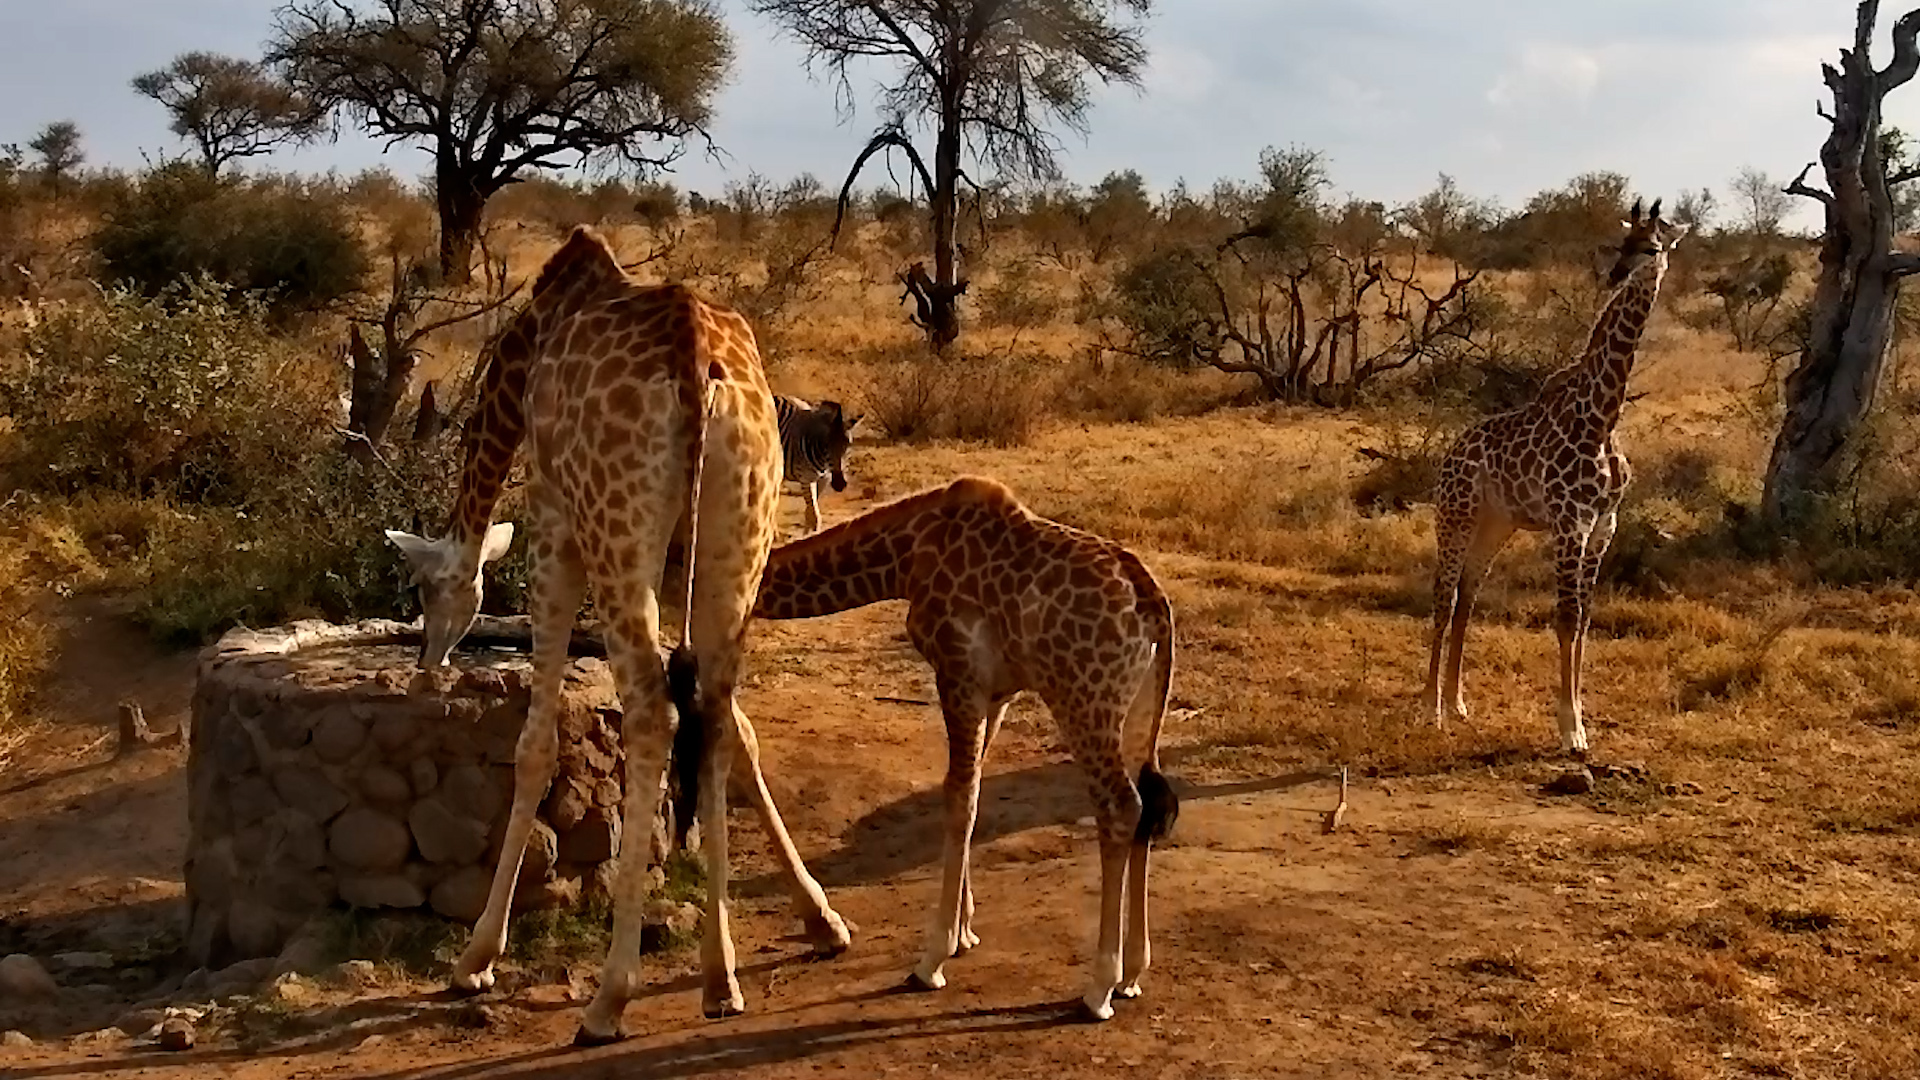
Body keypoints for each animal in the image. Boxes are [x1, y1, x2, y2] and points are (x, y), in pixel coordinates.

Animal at [382, 226, 851, 1044]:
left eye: (427, 593)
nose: (425, 667)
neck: (527, 346)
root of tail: (696, 363)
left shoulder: (554, 531)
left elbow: (534, 748)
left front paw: (476, 958)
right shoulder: (676, 567)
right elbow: (742, 734)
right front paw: (819, 918)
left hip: (614, 535)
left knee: (653, 714)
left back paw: (609, 997)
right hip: (736, 541)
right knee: (712, 712)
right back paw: (720, 978)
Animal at [706, 474, 1181, 1020]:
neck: (908, 554)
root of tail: (1154, 609)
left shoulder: (957, 674)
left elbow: (958, 800)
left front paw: (931, 959)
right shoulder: (995, 691)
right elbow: (970, 794)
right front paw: (964, 932)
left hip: (1084, 703)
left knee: (1120, 807)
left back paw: (1099, 987)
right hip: (1138, 712)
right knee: (1147, 808)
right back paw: (1132, 975)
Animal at [1426, 198, 1689, 755]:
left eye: (1652, 246)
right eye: (1622, 242)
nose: (1615, 276)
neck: (1601, 419)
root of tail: (1451, 453)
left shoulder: (1603, 528)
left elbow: (1585, 620)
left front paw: (1581, 721)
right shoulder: (1571, 525)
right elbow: (1566, 619)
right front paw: (1570, 729)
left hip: (1496, 523)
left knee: (1468, 594)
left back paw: (1458, 704)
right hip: (1455, 515)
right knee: (1444, 594)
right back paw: (1430, 708)